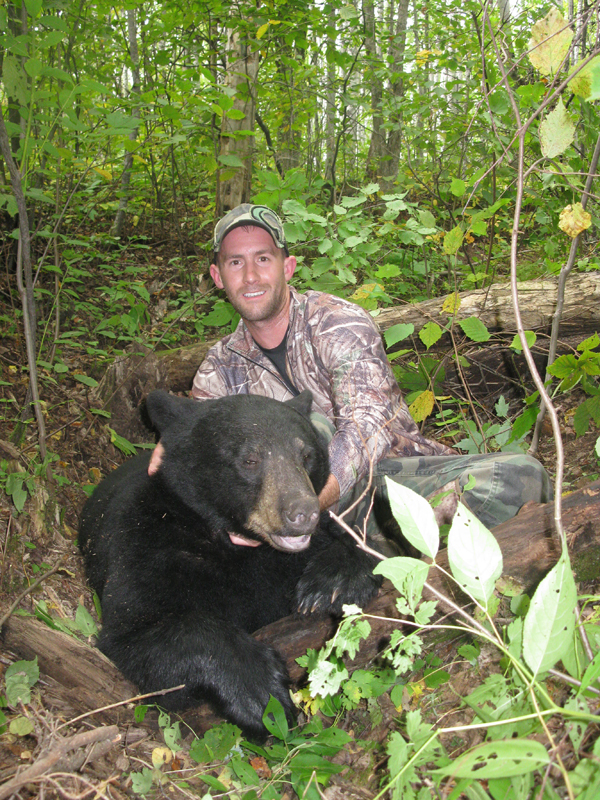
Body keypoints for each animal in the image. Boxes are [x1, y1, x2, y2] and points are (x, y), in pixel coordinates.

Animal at [79, 390, 380, 740]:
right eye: (249, 459)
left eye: (306, 455)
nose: (303, 513)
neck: (238, 544)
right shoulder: (148, 543)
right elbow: (137, 634)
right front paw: (260, 693)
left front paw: (331, 583)